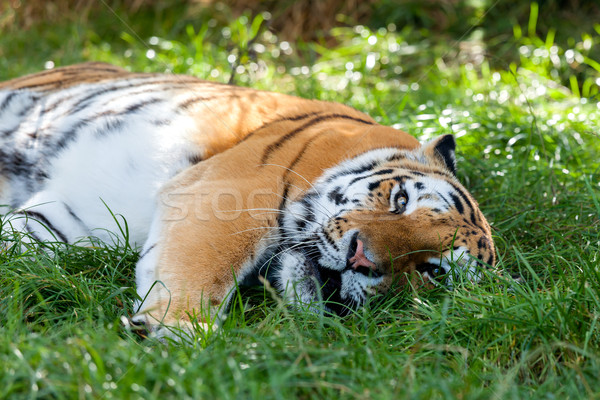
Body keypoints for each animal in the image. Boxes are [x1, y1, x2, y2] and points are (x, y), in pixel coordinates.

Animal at [0, 62, 496, 338]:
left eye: (432, 271)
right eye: (399, 200)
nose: (361, 258)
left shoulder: (76, 222)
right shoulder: (228, 195)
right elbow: (206, 266)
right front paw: (180, 330)